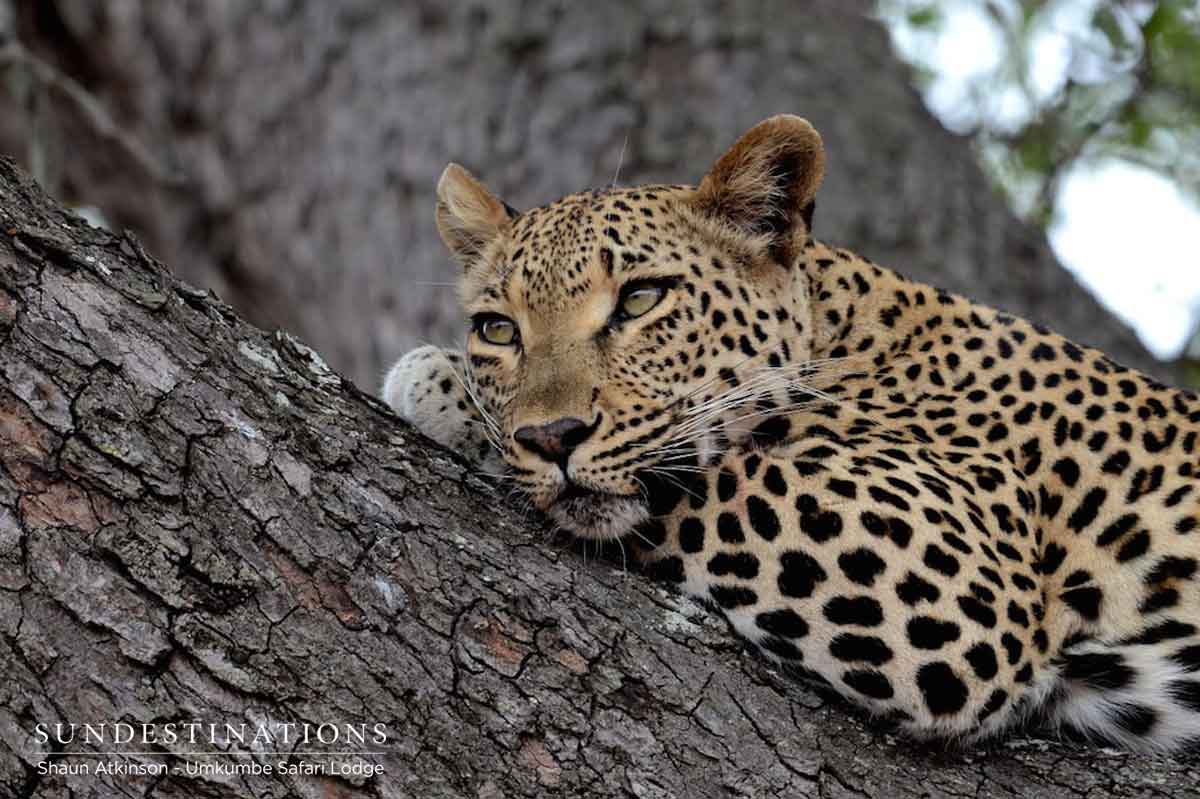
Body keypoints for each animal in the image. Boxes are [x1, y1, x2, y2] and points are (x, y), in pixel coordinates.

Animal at [382, 115, 1200, 751]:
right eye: (498, 330)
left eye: (641, 299)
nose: (553, 436)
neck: (847, 336)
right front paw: (453, 388)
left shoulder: (955, 571)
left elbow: (711, 473)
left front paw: (435, 386)